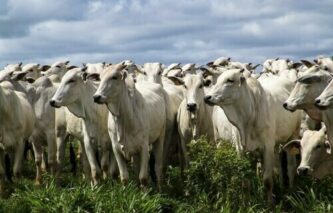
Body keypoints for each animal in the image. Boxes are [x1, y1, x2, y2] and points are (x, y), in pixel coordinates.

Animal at [205, 69, 300, 204]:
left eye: (230, 80)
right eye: (217, 80)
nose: (207, 97)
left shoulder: (267, 147)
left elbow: (267, 180)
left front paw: (270, 204)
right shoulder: (240, 150)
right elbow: (244, 181)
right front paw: (246, 202)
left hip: (293, 135)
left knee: (290, 167)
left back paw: (290, 190)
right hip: (219, 140)